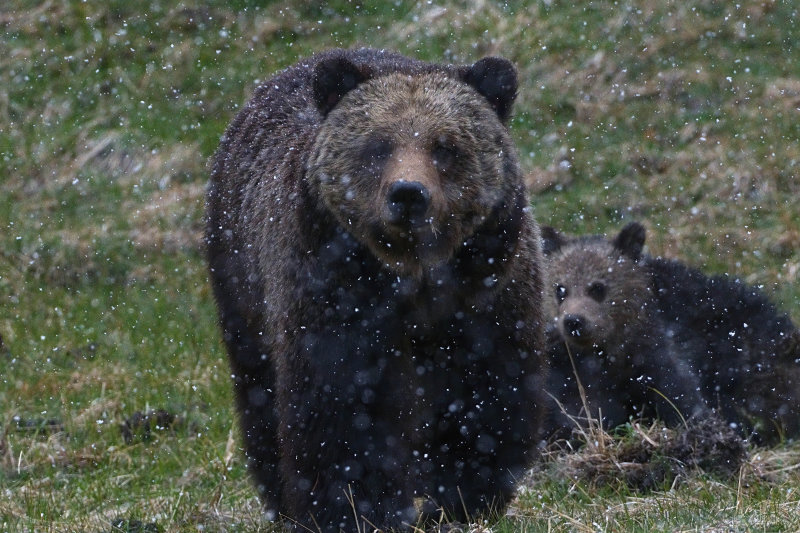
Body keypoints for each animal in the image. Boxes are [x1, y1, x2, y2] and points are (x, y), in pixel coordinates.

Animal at [203, 47, 548, 528]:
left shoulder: (490, 297)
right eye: (379, 145)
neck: (416, 277)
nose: (408, 193)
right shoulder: (336, 297)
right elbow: (348, 412)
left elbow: (486, 396)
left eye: (445, 146)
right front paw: (356, 508)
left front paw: (461, 501)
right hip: (241, 277)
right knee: (260, 391)